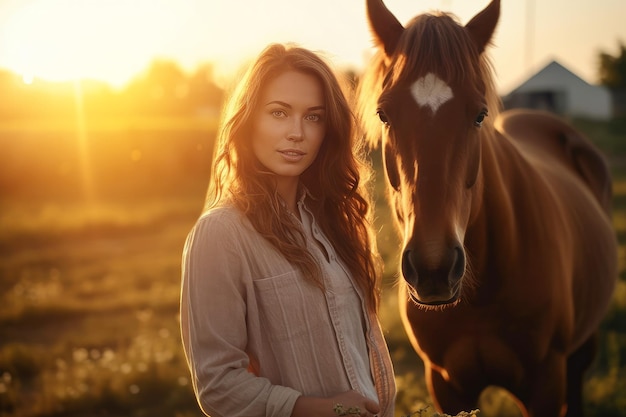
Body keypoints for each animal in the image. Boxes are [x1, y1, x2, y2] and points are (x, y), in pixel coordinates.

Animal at [358, 0, 616, 416]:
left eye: (479, 114)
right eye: (384, 114)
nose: (434, 268)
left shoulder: (546, 383)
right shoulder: (445, 385)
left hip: (581, 351)